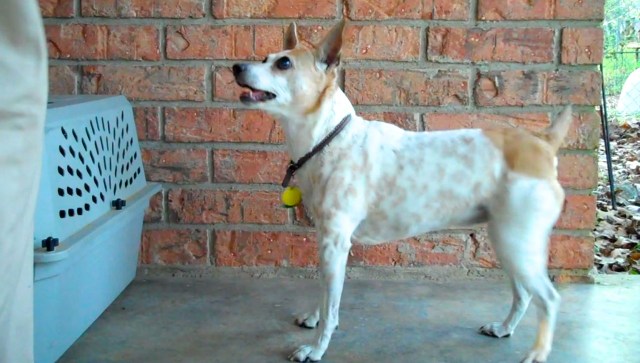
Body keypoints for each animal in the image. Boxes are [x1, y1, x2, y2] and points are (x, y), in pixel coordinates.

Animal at [232, 20, 572, 363]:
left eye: (284, 64)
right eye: (265, 57)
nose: (236, 66)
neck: (329, 138)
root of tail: (542, 144)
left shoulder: (335, 244)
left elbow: (331, 308)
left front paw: (316, 348)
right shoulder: (327, 243)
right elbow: (326, 294)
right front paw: (315, 317)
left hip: (517, 243)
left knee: (549, 298)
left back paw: (537, 352)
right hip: (508, 244)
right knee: (524, 293)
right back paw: (504, 328)